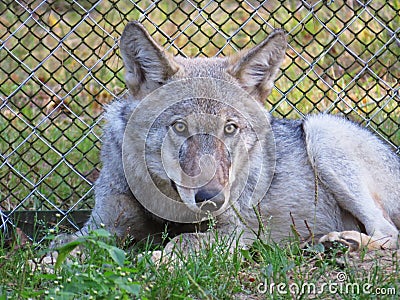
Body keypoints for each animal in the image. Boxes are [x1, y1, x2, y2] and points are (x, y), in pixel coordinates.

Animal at [73, 21, 398, 253]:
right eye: (180, 127)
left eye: (230, 128)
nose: (211, 199)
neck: (168, 206)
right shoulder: (101, 225)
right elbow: (70, 247)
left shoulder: (235, 231)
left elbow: (183, 242)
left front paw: (156, 260)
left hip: (321, 132)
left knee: (389, 234)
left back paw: (344, 242)